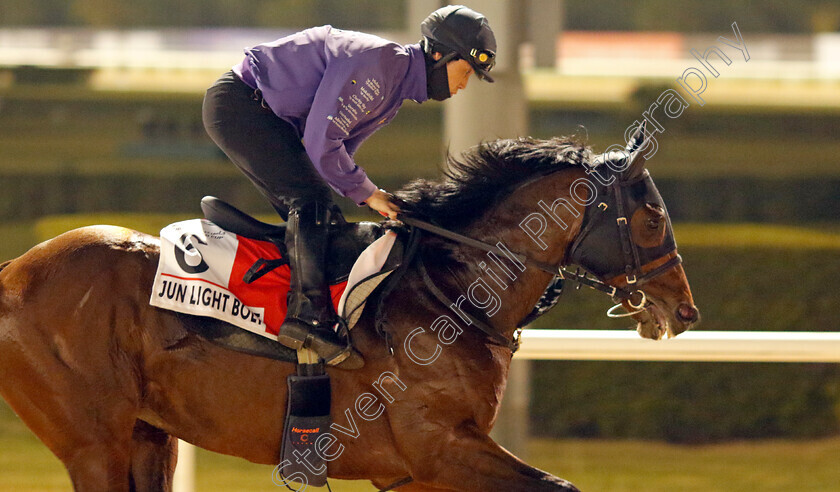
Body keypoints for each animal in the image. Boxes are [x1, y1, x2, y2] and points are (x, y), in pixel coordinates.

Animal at [0, 128, 696, 492]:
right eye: (653, 217)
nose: (684, 310)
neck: (451, 292)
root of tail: (15, 272)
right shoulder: (438, 450)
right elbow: (559, 486)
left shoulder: (418, 474)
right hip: (95, 445)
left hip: (151, 436)